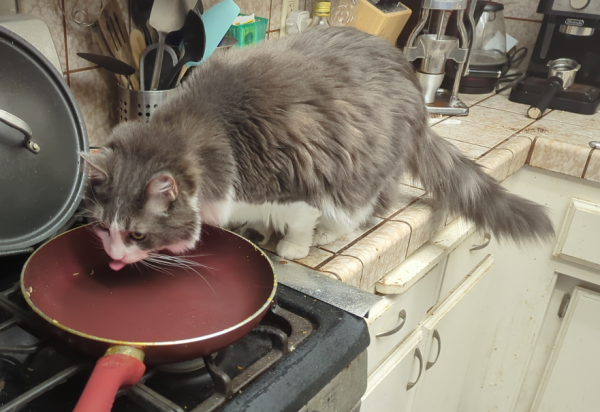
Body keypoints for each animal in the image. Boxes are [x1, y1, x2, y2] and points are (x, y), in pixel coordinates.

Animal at [81, 26, 552, 270]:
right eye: (102, 227)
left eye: (137, 234)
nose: (113, 256)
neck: (206, 127)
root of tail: (409, 74)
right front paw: (254, 230)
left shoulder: (296, 183)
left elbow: (298, 220)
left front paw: (290, 245)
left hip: (361, 171)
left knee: (365, 209)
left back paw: (329, 232)